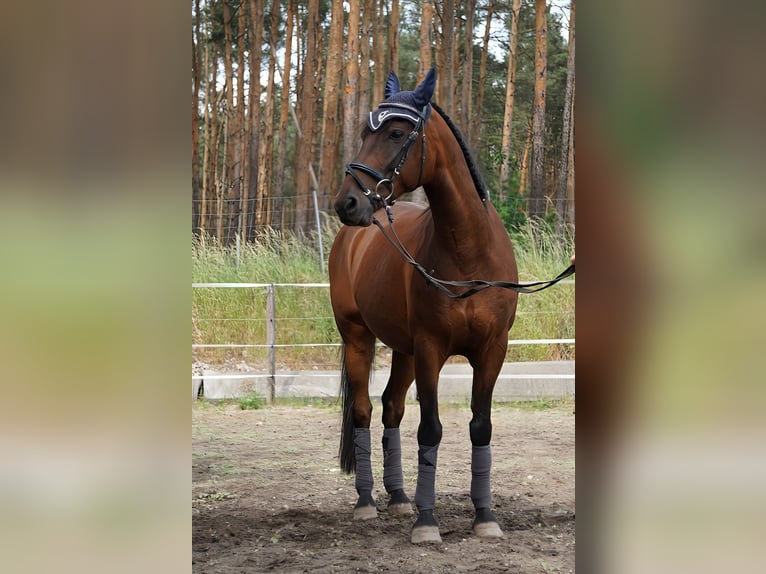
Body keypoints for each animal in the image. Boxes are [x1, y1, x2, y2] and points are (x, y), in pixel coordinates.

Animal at [328, 70, 520, 548]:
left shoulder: (492, 351)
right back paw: (368, 502)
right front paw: (427, 522)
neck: (469, 253)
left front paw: (485, 516)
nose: (347, 203)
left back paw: (400, 497)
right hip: (359, 337)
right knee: (365, 410)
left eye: (396, 133)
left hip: (404, 350)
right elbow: (430, 428)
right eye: (364, 133)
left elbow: (480, 426)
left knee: (392, 407)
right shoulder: (432, 349)